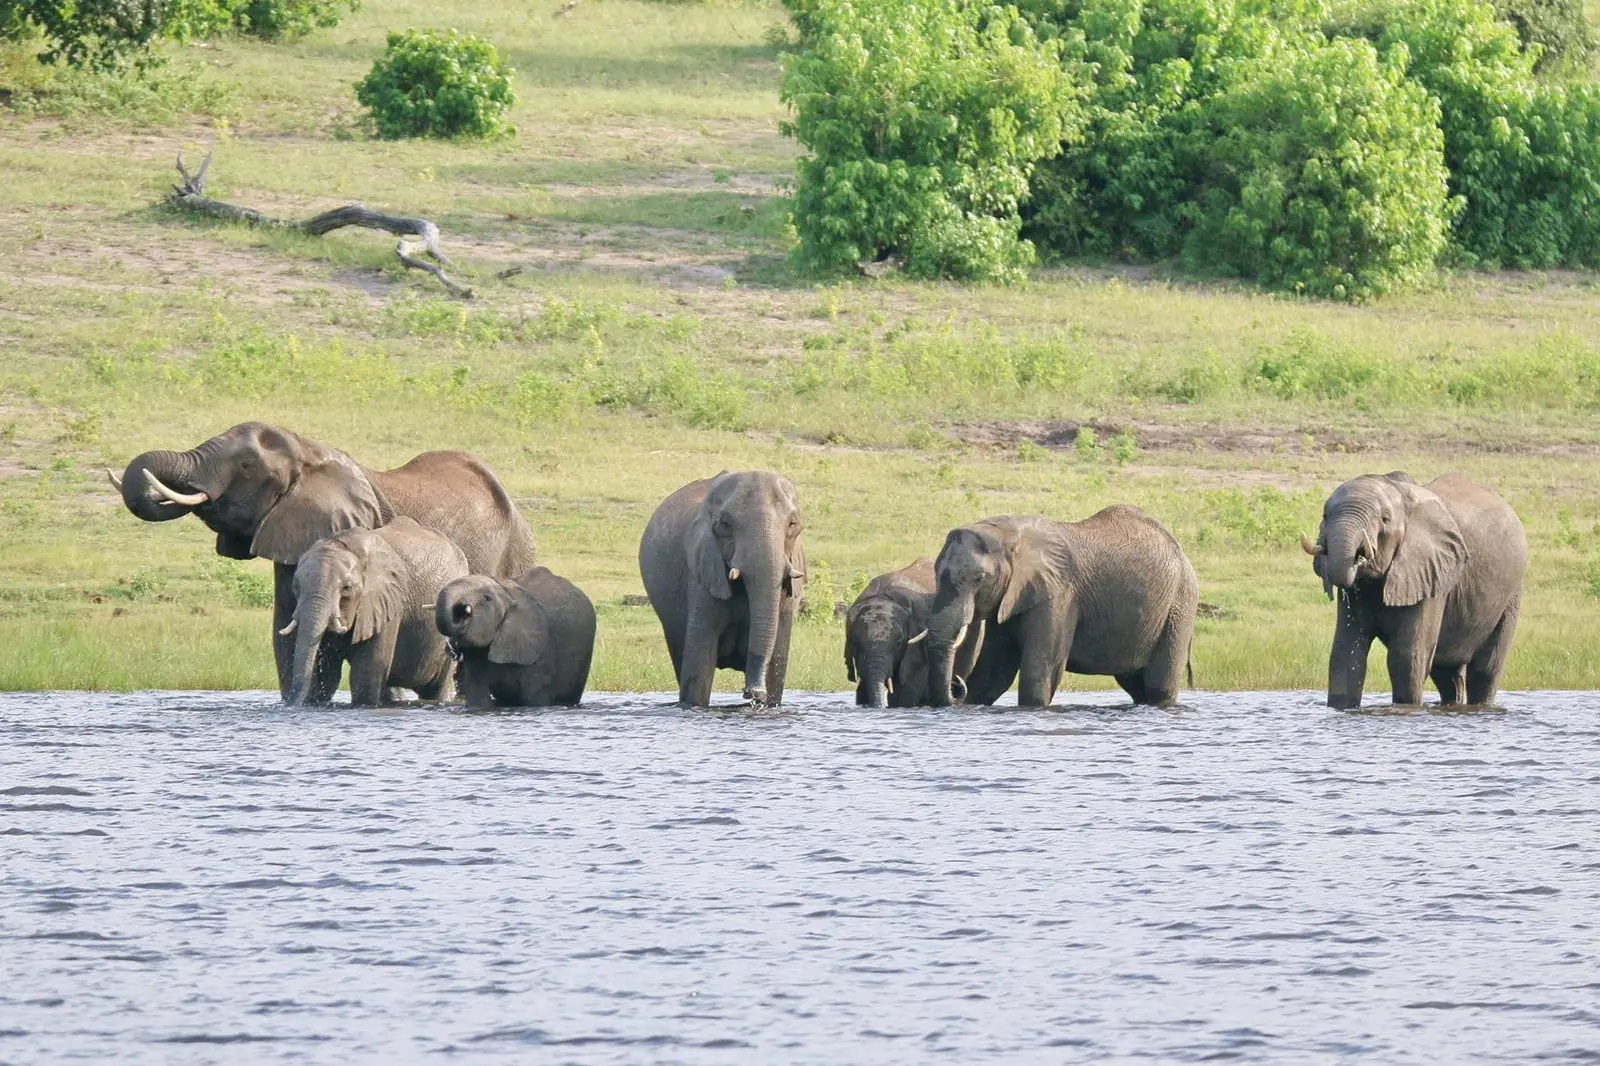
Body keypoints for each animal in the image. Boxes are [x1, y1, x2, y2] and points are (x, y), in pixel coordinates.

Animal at [279, 518, 469, 707]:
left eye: (347, 588)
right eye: (295, 586)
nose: (294, 703)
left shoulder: (389, 602)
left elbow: (365, 677)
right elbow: (326, 676)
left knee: (436, 689)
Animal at [434, 567, 596, 708]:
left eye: (487, 598)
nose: (462, 609)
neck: (507, 594)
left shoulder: (541, 649)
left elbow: (532, 697)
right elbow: (478, 696)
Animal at [638, 471, 805, 708]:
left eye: (793, 524)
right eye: (724, 524)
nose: (752, 693)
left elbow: (776, 667)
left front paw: (766, 702)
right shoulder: (702, 572)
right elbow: (699, 672)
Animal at [924, 507, 1198, 708]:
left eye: (979, 578)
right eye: (935, 573)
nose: (957, 683)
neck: (1007, 534)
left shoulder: (1059, 595)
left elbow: (1038, 674)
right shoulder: (1010, 597)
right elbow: (992, 674)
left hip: (1180, 604)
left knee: (1158, 684)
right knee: (1135, 684)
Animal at [1301, 472, 1526, 709]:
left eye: (1385, 519)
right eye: (1325, 515)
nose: (1359, 556)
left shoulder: (1431, 575)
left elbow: (1406, 658)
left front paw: (1406, 708)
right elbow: (1345, 653)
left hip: (1512, 592)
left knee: (1485, 669)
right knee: (1445, 674)